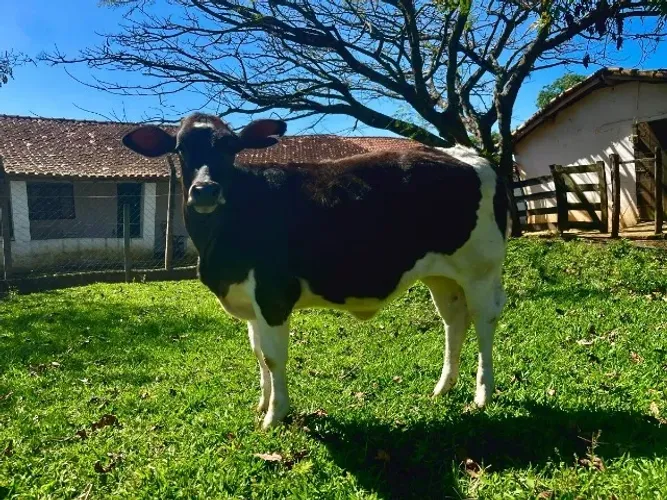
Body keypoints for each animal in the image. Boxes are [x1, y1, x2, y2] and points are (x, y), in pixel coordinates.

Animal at [122, 113, 509, 429]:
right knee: (454, 321)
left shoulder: (273, 295)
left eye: (231, 148)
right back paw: (443, 388)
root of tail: (463, 154)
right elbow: (258, 353)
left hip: (481, 269)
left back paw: (482, 395)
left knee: (484, 320)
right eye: (181, 148)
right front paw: (262, 404)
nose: (204, 190)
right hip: (442, 275)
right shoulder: (250, 302)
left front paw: (275, 416)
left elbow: (274, 357)